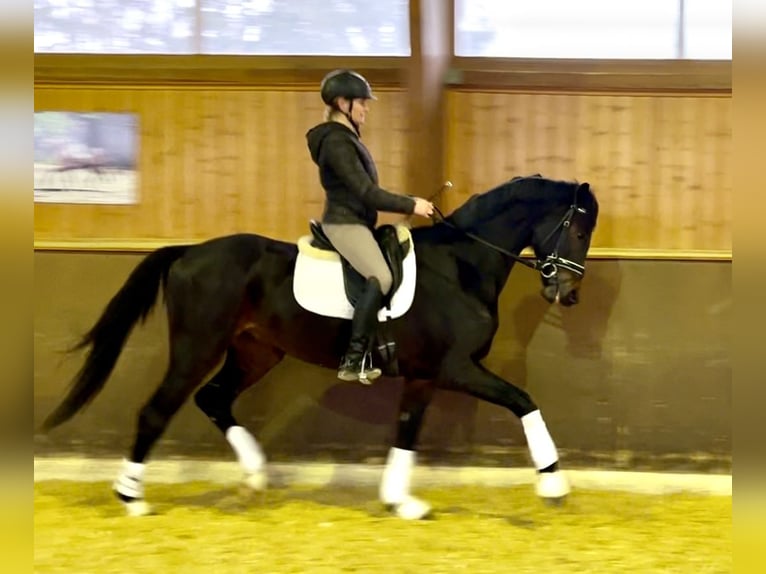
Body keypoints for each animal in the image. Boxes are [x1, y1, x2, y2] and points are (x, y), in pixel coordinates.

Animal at [40, 176, 600, 520]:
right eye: (576, 227)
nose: (568, 292)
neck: (462, 265)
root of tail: (190, 252)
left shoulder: (423, 375)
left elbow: (406, 434)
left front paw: (400, 502)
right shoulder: (456, 368)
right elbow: (524, 402)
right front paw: (553, 486)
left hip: (255, 351)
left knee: (213, 399)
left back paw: (255, 476)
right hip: (197, 348)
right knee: (157, 411)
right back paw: (132, 498)